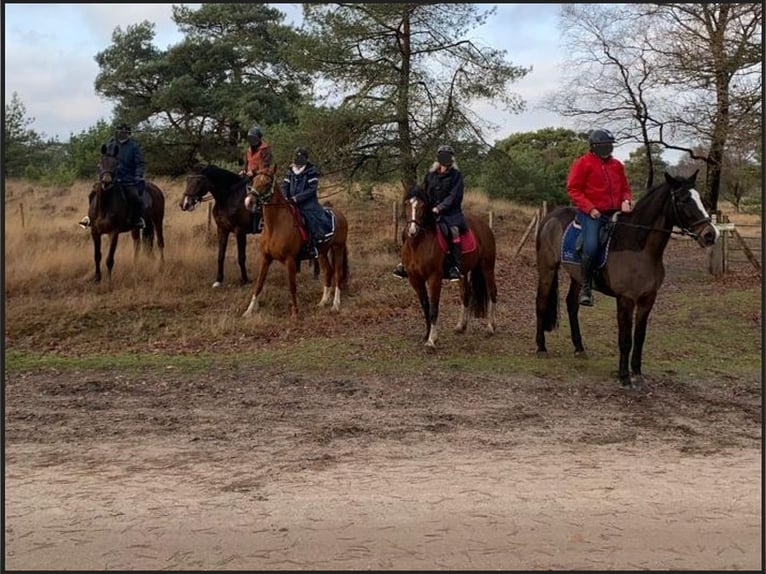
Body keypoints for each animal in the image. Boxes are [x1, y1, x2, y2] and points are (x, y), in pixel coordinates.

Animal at [243, 178, 352, 322]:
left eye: (267, 183)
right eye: (254, 180)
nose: (248, 202)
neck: (275, 226)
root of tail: (340, 215)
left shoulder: (290, 260)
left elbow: (292, 286)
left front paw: (295, 313)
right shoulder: (265, 258)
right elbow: (259, 284)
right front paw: (248, 311)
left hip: (337, 248)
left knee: (338, 273)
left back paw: (335, 305)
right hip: (322, 252)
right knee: (327, 272)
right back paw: (323, 302)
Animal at [400, 182, 500, 348]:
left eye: (422, 205)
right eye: (406, 203)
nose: (412, 231)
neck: (418, 245)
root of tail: (485, 226)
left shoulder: (434, 278)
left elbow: (434, 307)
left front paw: (431, 340)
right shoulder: (415, 279)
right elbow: (425, 306)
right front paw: (426, 335)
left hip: (487, 267)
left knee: (492, 292)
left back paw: (491, 327)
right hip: (463, 272)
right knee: (465, 295)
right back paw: (461, 326)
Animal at [536, 169, 724, 390]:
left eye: (700, 198)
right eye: (684, 200)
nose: (711, 234)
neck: (640, 247)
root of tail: (550, 216)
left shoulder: (648, 299)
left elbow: (639, 337)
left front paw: (637, 373)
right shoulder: (626, 299)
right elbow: (625, 339)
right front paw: (624, 376)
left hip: (578, 277)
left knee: (572, 305)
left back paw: (579, 348)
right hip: (547, 269)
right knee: (541, 303)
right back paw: (541, 347)